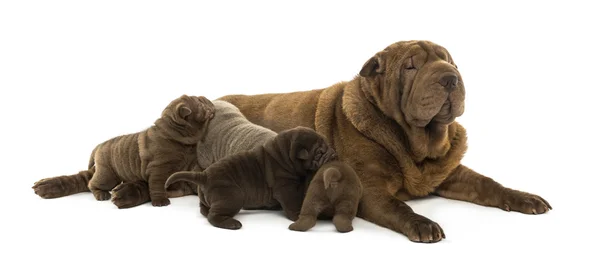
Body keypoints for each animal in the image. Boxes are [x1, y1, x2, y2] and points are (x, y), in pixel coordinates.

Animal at [32, 94, 216, 207]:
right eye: (200, 104)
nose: (204, 97)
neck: (176, 135)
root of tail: (98, 146)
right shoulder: (158, 168)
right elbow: (156, 185)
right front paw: (160, 201)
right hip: (107, 174)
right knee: (90, 182)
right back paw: (101, 194)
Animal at [164, 126, 338, 230]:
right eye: (320, 152)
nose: (333, 153)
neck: (285, 155)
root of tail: (204, 175)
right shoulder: (285, 188)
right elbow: (291, 202)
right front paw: (297, 215)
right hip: (232, 196)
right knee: (214, 216)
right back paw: (232, 223)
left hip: (207, 198)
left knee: (204, 209)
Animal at [218, 39, 552, 243]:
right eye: (411, 66)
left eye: (450, 62)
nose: (450, 78)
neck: (416, 146)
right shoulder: (369, 187)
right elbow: (397, 206)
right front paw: (423, 224)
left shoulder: (450, 172)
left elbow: (488, 184)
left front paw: (524, 198)